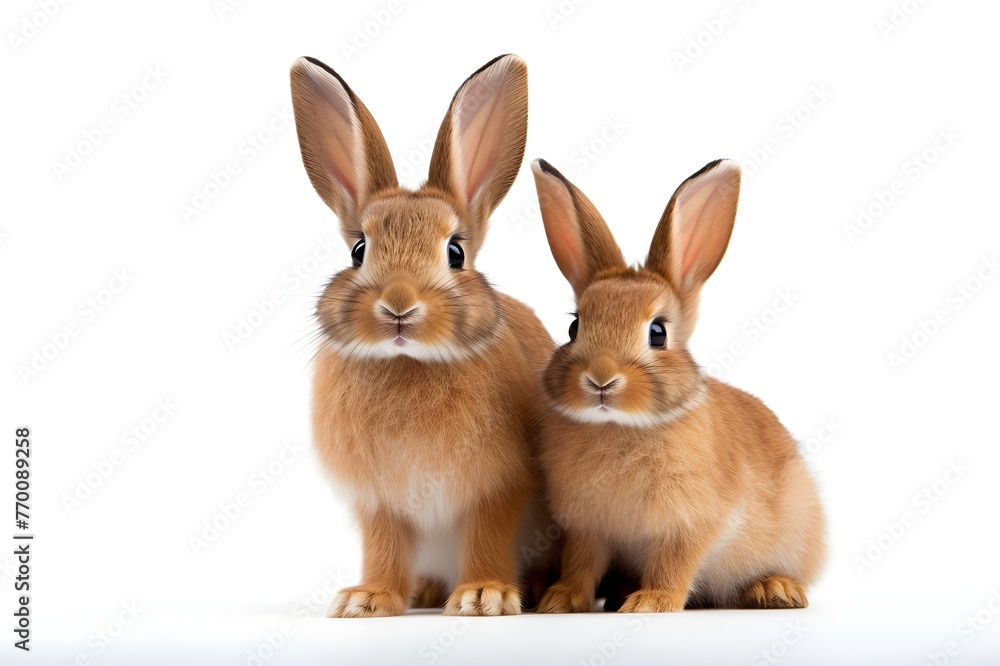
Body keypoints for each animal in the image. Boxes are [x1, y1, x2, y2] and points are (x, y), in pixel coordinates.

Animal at [290, 54, 555, 617]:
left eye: (455, 252)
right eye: (359, 250)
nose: (399, 306)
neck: (408, 361)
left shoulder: (497, 489)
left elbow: (488, 536)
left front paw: (484, 595)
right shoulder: (380, 502)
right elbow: (383, 546)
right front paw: (368, 599)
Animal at [529, 157, 826, 613]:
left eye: (658, 333)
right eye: (574, 327)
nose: (601, 379)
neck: (619, 426)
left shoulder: (690, 524)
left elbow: (674, 563)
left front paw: (651, 602)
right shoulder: (588, 528)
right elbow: (581, 563)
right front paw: (560, 600)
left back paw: (775, 590)